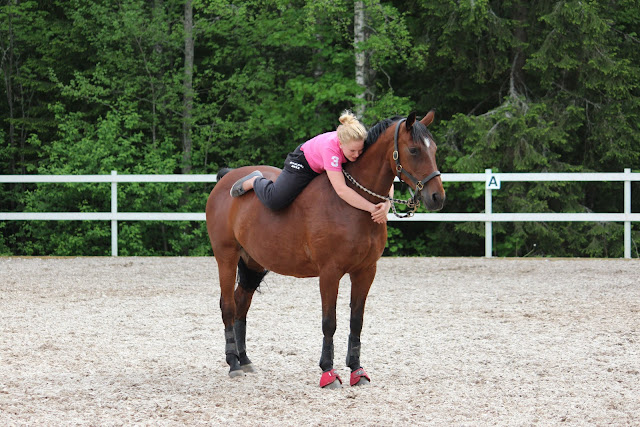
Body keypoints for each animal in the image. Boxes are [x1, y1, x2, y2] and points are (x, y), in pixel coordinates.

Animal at [205, 111, 445, 388]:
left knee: (241, 303)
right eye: (414, 150)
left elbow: (356, 321)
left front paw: (357, 370)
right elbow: (329, 322)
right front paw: (328, 372)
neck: (353, 204)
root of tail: (227, 179)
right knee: (228, 306)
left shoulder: (365, 271)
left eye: (434, 149)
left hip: (253, 262)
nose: (437, 197)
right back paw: (233, 362)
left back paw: (244, 359)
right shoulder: (330, 273)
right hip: (226, 256)